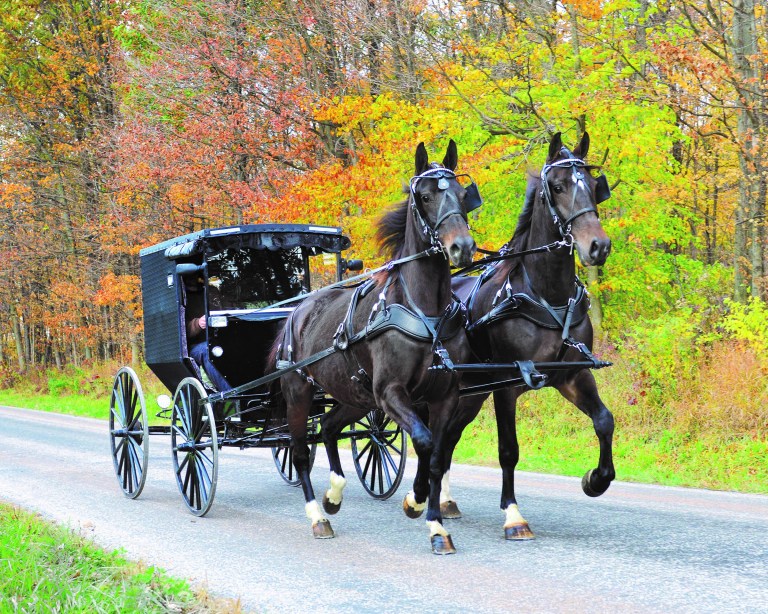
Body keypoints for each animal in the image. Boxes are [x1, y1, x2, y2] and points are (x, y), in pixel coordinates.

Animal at [272, 142, 480, 556]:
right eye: (426, 196)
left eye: (461, 194)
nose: (461, 247)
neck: (425, 312)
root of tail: (298, 311)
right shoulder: (391, 393)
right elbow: (423, 440)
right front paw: (415, 501)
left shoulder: (444, 396)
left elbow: (437, 456)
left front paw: (436, 524)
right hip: (300, 393)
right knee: (301, 450)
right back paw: (317, 517)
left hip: (355, 396)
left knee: (329, 427)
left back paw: (334, 495)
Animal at [448, 132, 616, 540]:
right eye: (557, 187)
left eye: (594, 185)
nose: (598, 246)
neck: (546, 296)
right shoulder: (508, 385)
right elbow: (509, 450)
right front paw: (513, 515)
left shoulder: (573, 376)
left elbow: (604, 421)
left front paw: (596, 479)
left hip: (470, 394)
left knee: (447, 438)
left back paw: (442, 501)